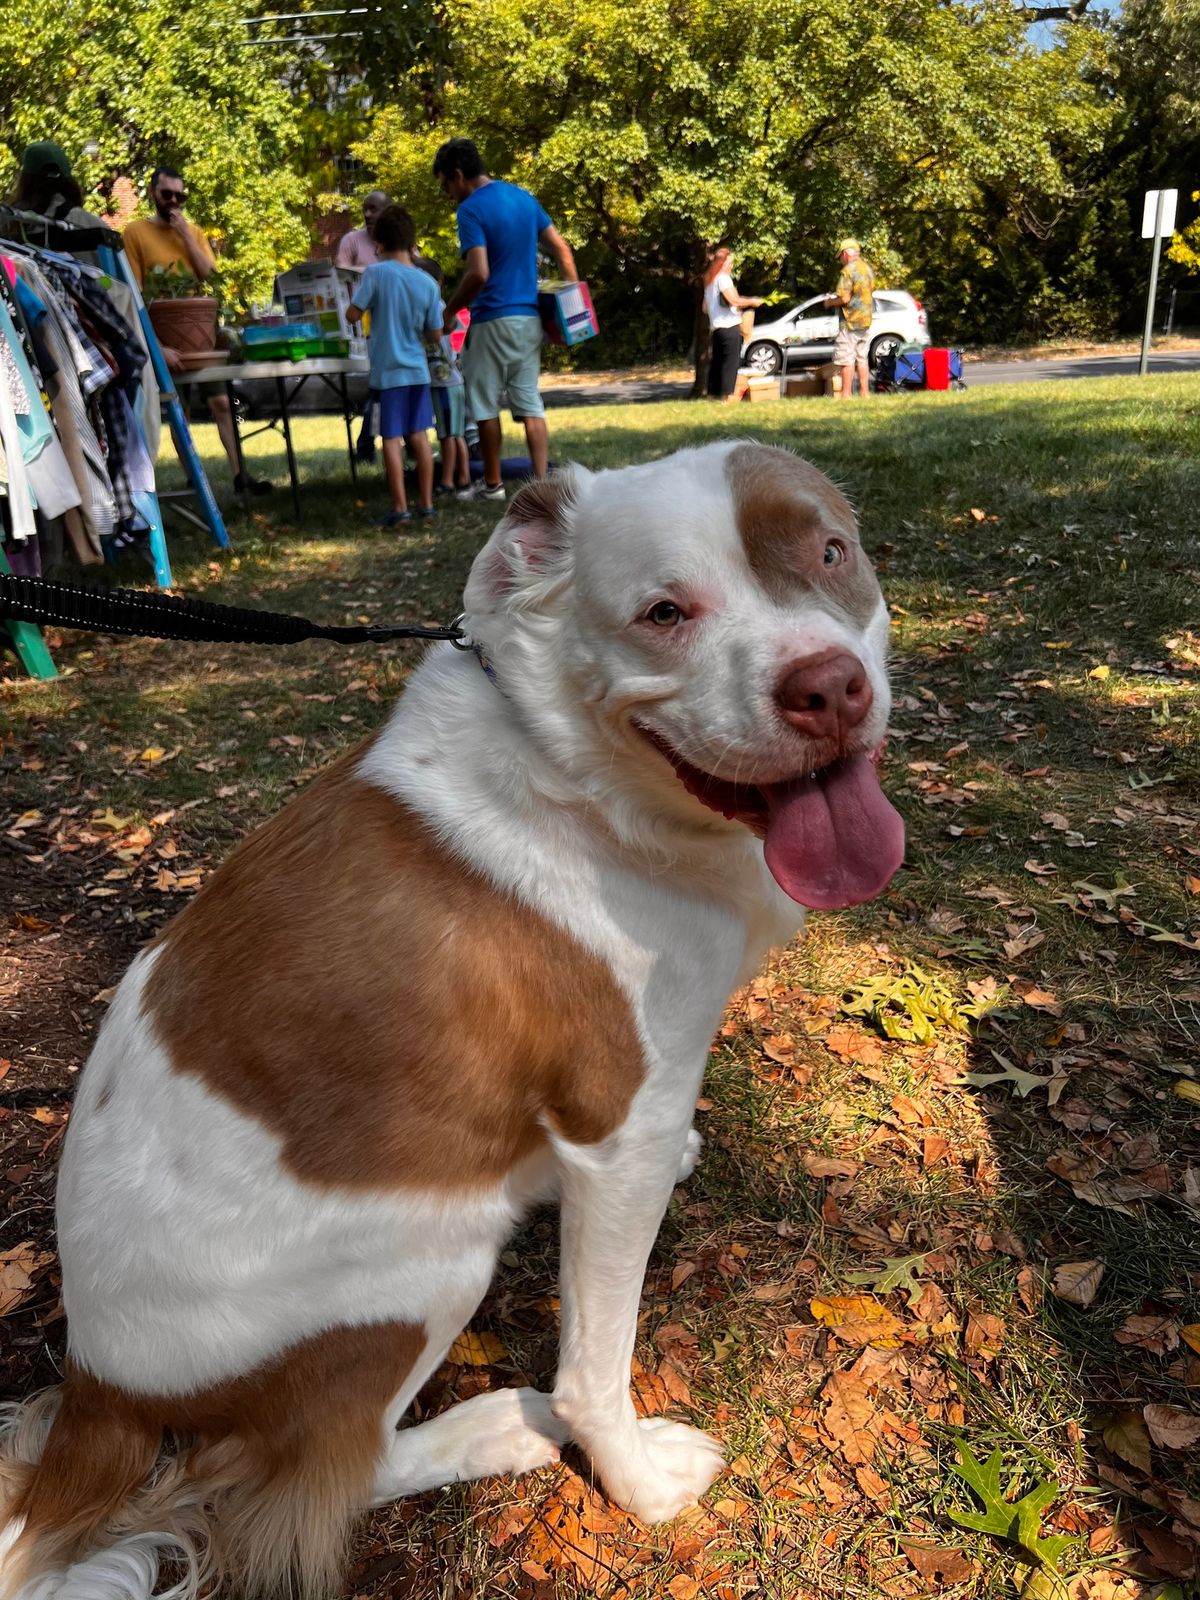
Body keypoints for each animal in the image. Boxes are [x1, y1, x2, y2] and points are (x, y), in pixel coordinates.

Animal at [0, 441, 902, 1600]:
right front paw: (638, 1484)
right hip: (423, 1271)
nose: (828, 687)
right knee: (319, 1471)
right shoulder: (620, 1130)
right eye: (663, 612)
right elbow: (595, 1366)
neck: (580, 777)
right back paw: (501, 1428)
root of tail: (98, 1390)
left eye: (830, 553)